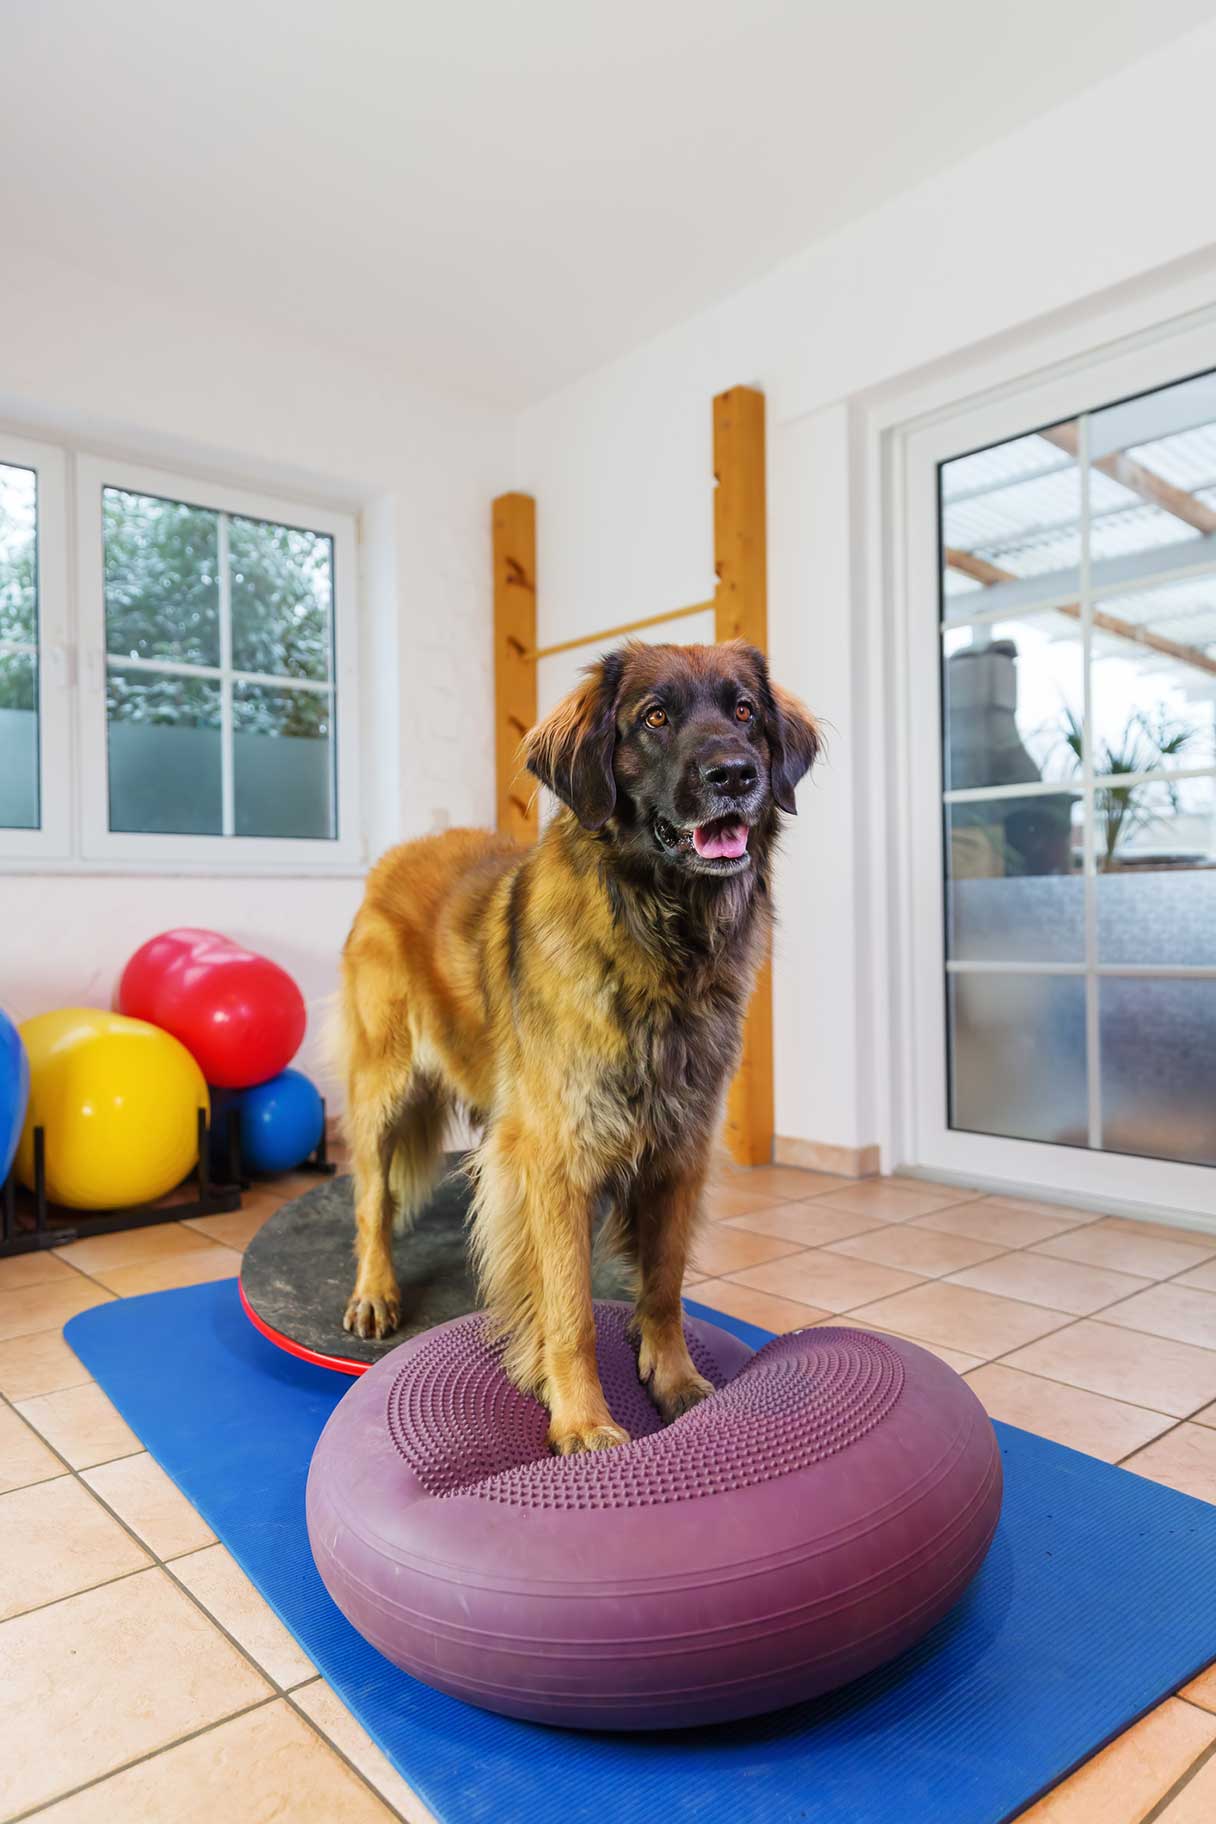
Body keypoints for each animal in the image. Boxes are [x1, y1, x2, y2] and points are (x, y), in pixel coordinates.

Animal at [337, 642, 824, 1451]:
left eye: (745, 712)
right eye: (654, 718)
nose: (734, 774)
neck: (660, 941)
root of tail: (395, 856)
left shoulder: (678, 1152)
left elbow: (664, 1286)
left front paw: (677, 1382)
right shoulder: (556, 1158)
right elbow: (569, 1310)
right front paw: (583, 1421)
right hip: (385, 1087)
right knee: (372, 1201)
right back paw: (375, 1291)